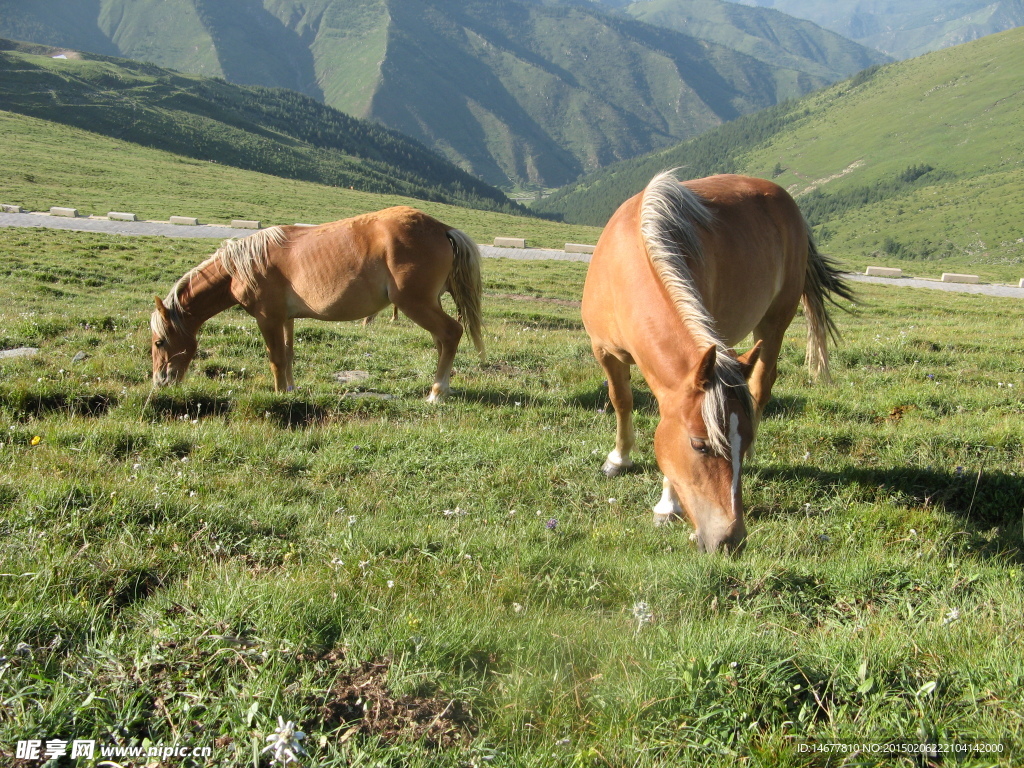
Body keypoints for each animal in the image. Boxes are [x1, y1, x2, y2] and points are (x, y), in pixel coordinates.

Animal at [149, 207, 485, 399]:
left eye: (159, 342)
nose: (160, 382)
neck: (242, 267)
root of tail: (442, 228)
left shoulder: (268, 318)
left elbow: (275, 358)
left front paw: (278, 395)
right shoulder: (286, 318)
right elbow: (288, 354)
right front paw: (290, 389)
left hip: (415, 304)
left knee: (450, 334)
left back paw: (437, 392)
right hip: (428, 305)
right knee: (442, 340)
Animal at [581, 171, 851, 552]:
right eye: (699, 445)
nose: (730, 539)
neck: (625, 268)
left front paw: (667, 505)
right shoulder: (604, 351)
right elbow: (621, 401)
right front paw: (618, 459)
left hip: (774, 322)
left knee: (762, 385)